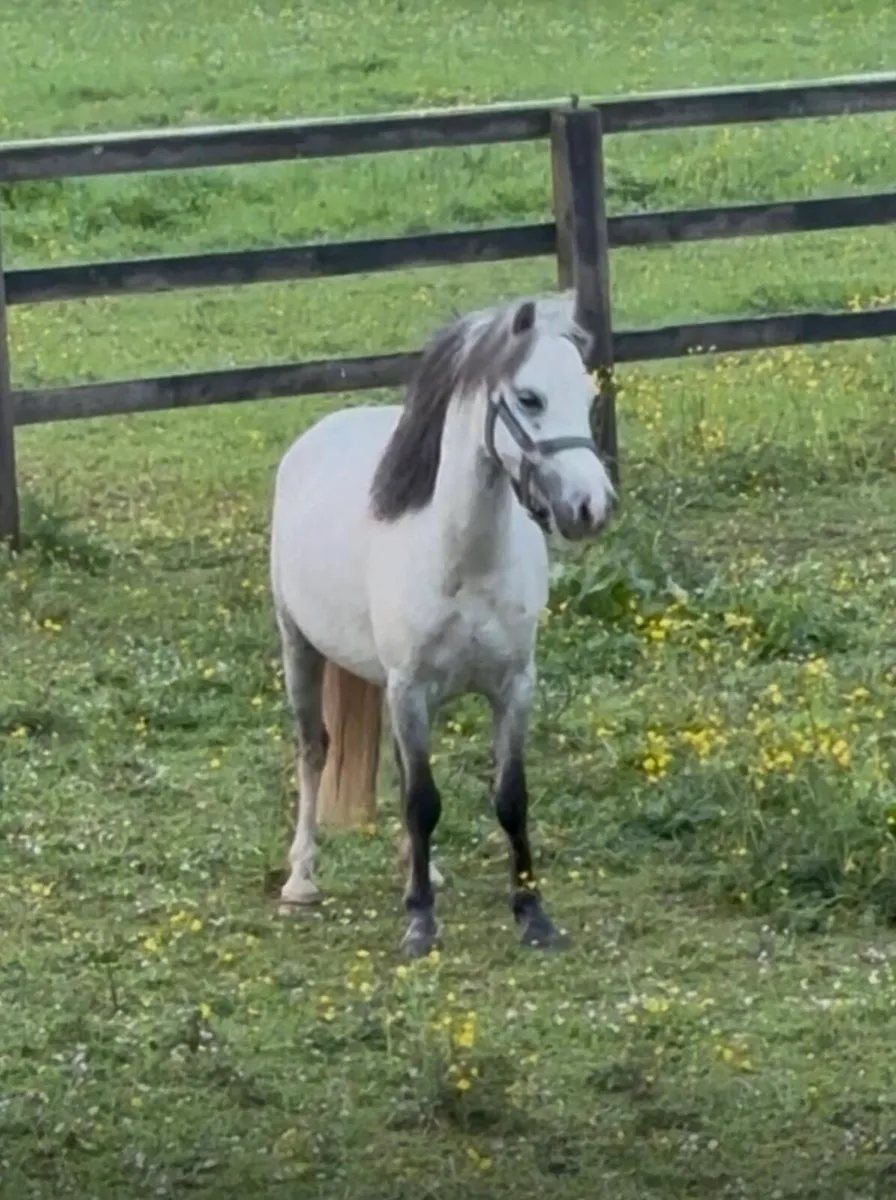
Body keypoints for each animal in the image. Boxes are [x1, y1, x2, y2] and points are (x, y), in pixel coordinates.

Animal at [269, 291, 615, 958]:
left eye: (588, 396)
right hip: (300, 646)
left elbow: (509, 798)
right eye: (529, 398)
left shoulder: (514, 686)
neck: (461, 561)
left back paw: (419, 868)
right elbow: (422, 801)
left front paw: (532, 916)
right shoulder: (411, 689)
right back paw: (301, 879)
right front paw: (420, 924)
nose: (592, 507)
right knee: (314, 750)